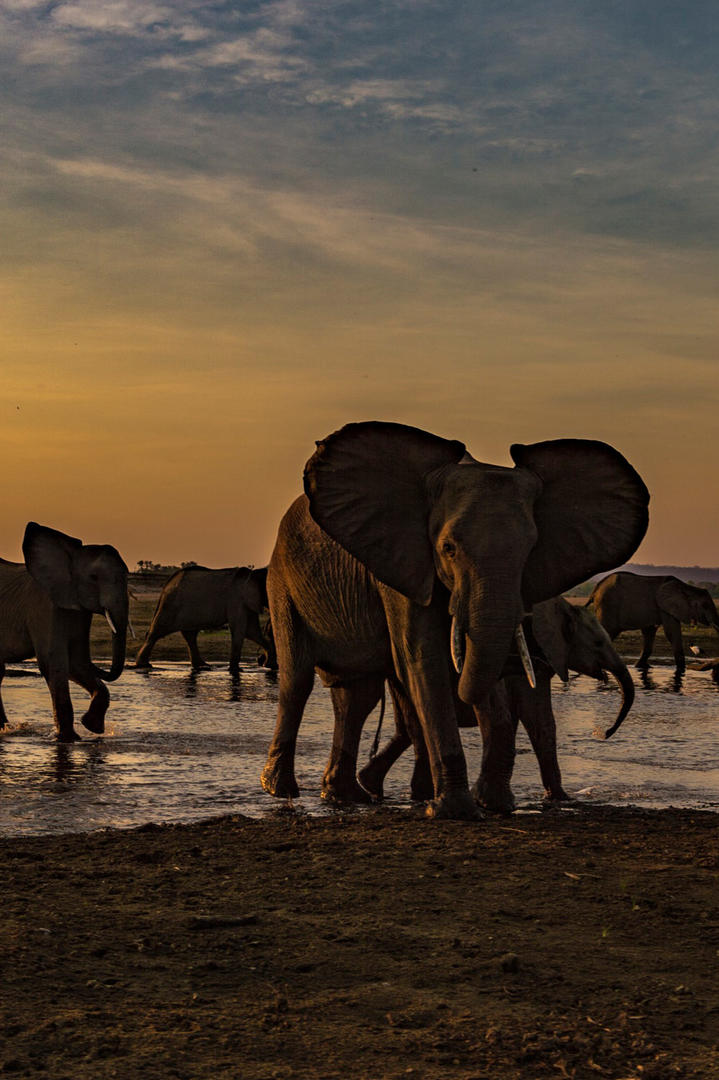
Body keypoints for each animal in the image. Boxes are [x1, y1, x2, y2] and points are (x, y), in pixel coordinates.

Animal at [0, 522, 129, 742]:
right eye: (94, 577)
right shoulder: (44, 606)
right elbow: (54, 661)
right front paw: (68, 739)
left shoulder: (78, 610)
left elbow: (76, 662)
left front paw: (91, 727)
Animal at [134, 566, 276, 674]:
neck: (253, 574)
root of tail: (167, 584)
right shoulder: (236, 601)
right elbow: (241, 631)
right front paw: (236, 671)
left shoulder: (248, 603)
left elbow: (251, 632)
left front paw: (270, 666)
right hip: (171, 605)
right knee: (157, 631)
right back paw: (144, 665)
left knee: (190, 635)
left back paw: (203, 666)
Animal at [356, 597, 635, 808]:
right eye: (598, 643)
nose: (603, 732)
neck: (560, 605)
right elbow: (537, 718)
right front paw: (563, 799)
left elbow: (538, 720)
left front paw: (560, 798)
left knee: (408, 729)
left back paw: (376, 785)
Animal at [587, 572, 719, 674]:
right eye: (705, 606)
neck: (686, 588)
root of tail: (595, 590)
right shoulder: (665, 608)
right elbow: (672, 633)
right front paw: (681, 670)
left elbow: (649, 633)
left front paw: (641, 667)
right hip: (607, 606)